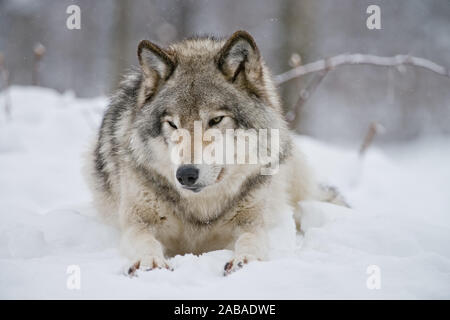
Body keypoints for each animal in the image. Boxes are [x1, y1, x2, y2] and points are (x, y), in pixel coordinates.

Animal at [83, 30, 344, 276]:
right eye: (173, 124)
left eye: (216, 120)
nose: (186, 174)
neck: (201, 208)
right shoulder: (138, 222)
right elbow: (145, 240)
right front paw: (150, 262)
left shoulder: (252, 221)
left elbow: (252, 239)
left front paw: (245, 260)